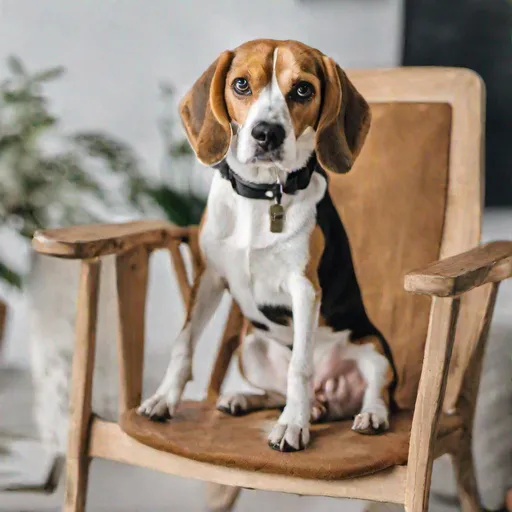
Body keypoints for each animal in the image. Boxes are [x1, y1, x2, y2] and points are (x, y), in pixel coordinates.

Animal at [139, 39, 396, 452]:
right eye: (241, 84)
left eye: (303, 89)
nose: (267, 134)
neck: (262, 194)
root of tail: (329, 397)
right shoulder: (209, 278)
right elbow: (183, 344)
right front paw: (164, 399)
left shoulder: (304, 290)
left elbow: (300, 367)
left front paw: (292, 425)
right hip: (251, 347)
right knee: (277, 392)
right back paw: (246, 399)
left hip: (373, 347)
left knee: (377, 389)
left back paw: (365, 415)